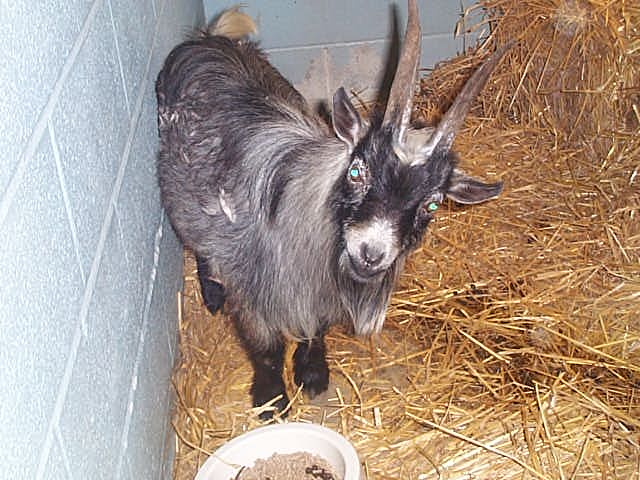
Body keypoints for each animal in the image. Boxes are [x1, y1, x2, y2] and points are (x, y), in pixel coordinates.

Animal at [156, 0, 507, 418]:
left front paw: (312, 374)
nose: (370, 253)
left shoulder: (319, 295)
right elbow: (267, 348)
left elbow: (314, 330)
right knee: (200, 243)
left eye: (433, 203)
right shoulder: (253, 290)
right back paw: (211, 293)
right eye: (357, 170)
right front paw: (271, 399)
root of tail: (208, 41)